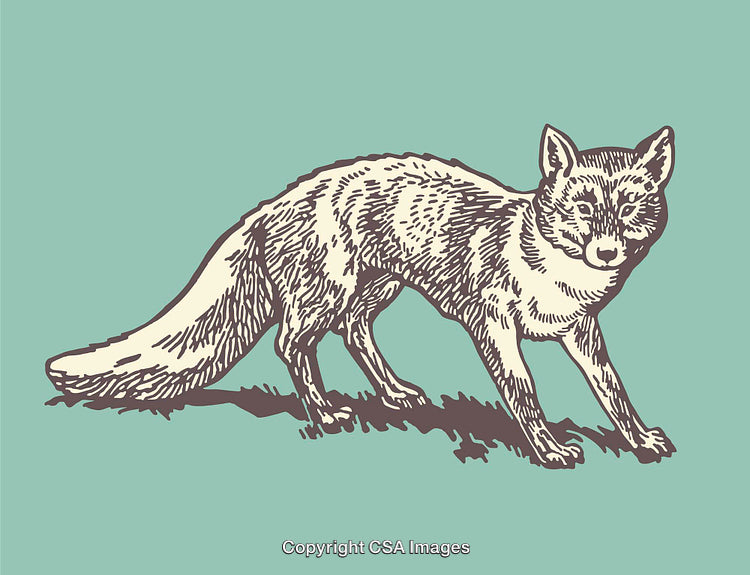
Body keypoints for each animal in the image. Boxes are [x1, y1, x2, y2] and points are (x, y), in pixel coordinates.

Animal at [46, 125, 676, 469]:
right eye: (583, 210)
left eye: (629, 211)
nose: (607, 253)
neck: (554, 277)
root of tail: (271, 203)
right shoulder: (492, 327)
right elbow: (524, 392)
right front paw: (548, 450)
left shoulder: (581, 330)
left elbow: (614, 391)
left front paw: (640, 439)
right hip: (328, 294)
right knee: (290, 344)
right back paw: (324, 413)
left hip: (374, 290)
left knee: (352, 334)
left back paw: (394, 394)